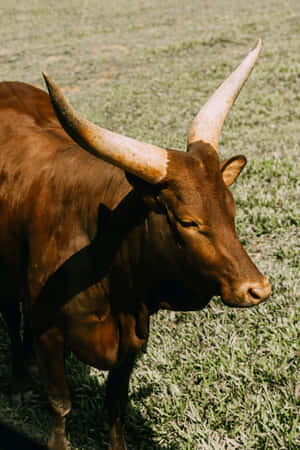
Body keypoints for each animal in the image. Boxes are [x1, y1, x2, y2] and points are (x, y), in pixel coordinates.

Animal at [0, 39, 270, 450]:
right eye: (187, 221)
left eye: (232, 209)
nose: (257, 288)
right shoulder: (49, 333)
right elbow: (60, 404)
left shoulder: (132, 339)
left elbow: (116, 405)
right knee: (12, 320)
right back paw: (17, 378)